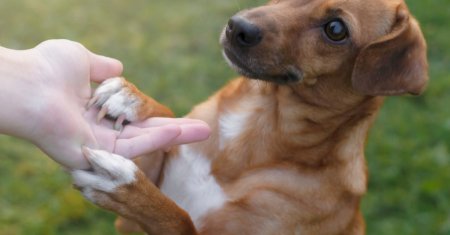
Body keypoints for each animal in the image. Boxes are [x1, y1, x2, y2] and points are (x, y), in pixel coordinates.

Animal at [72, 0, 428, 234]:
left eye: (336, 29)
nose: (237, 26)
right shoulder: (129, 225)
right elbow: (168, 123)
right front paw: (132, 99)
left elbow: (179, 218)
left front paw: (126, 187)